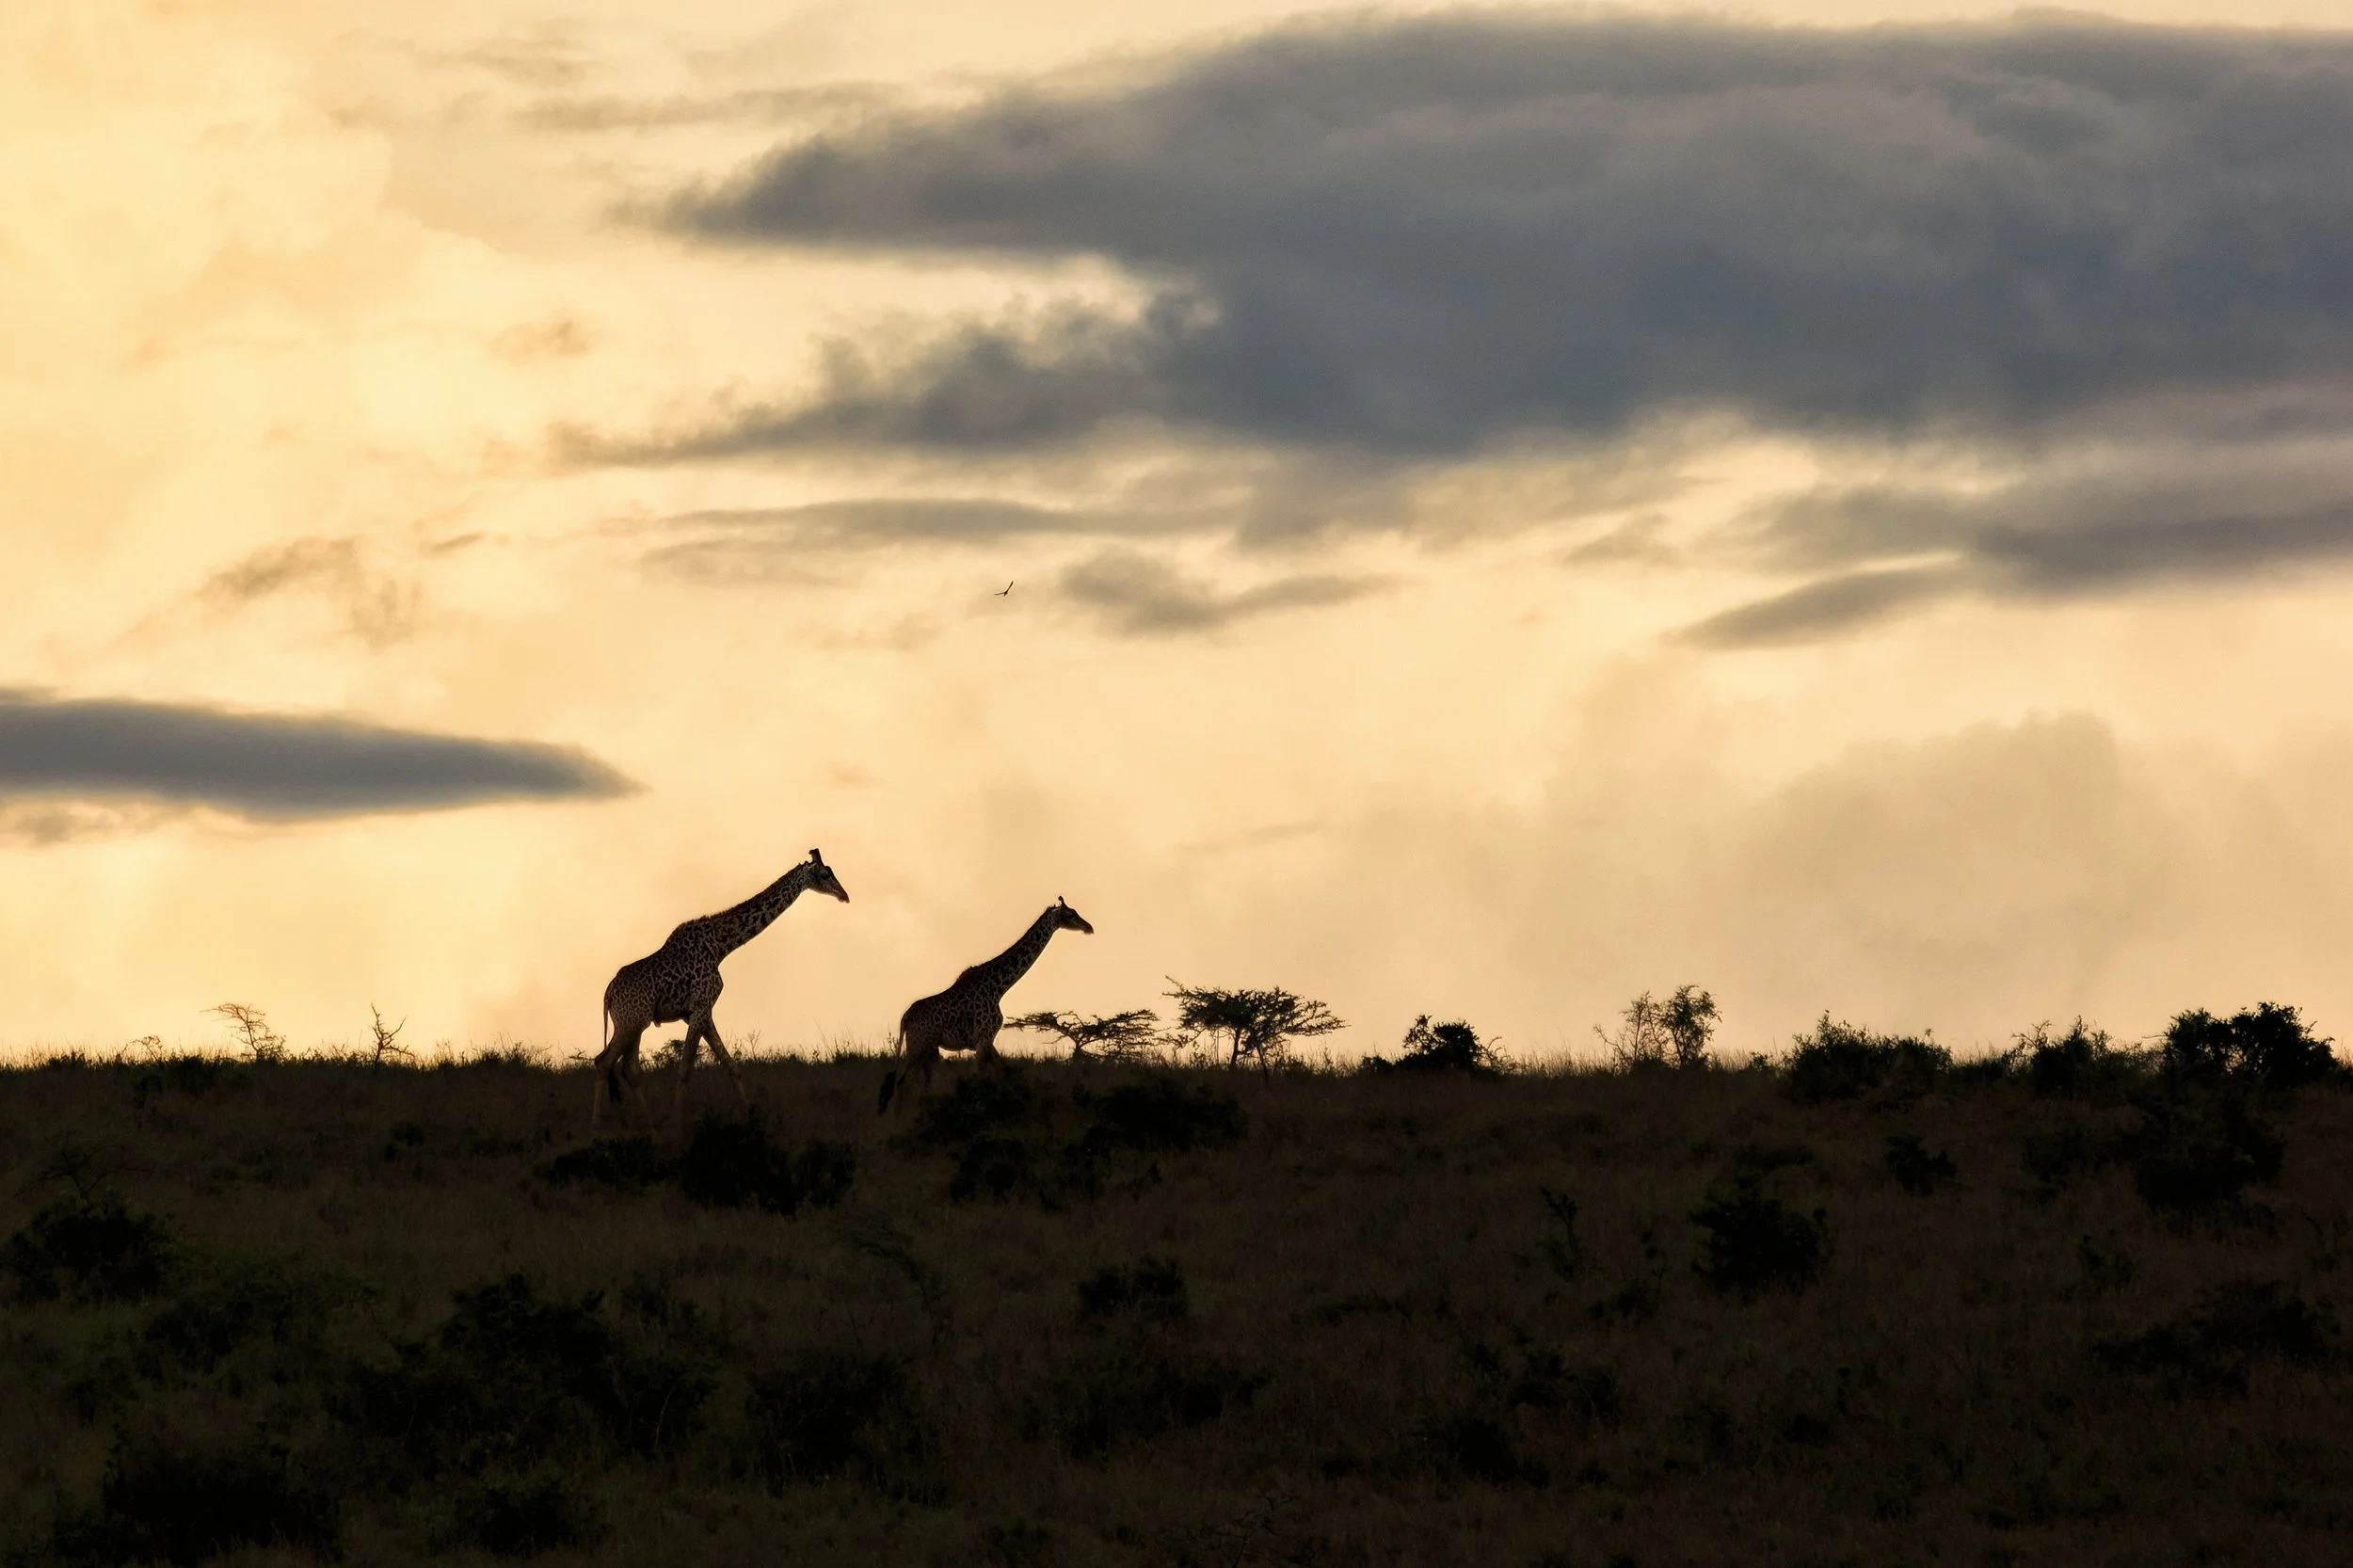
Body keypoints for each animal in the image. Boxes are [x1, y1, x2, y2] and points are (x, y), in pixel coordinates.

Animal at [592, 848, 850, 1131]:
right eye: (825, 874)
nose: (844, 895)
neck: (720, 945)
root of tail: (607, 995)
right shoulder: (700, 1006)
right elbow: (685, 1068)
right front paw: (676, 1122)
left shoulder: (701, 1012)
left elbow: (729, 1063)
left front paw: (750, 1112)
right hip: (630, 1021)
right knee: (604, 1062)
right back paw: (598, 1125)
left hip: (636, 1022)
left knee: (629, 1068)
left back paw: (647, 1124)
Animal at [877, 898, 1094, 1114]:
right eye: (1070, 914)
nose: (1089, 927)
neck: (998, 987)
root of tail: (905, 1017)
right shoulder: (984, 1037)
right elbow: (977, 1078)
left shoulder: (987, 1040)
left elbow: (1004, 1073)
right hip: (918, 1045)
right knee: (902, 1082)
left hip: (928, 1049)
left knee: (919, 1085)